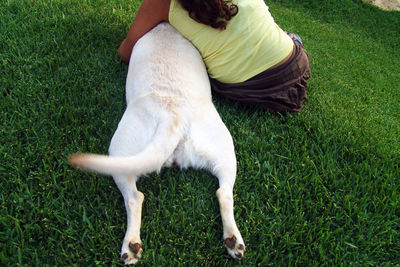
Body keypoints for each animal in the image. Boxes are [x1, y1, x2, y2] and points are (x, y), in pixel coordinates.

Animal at [69, 23, 244, 266]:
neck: (166, 29)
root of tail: (173, 115)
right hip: (222, 150)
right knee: (223, 193)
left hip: (122, 152)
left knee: (135, 197)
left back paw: (131, 247)